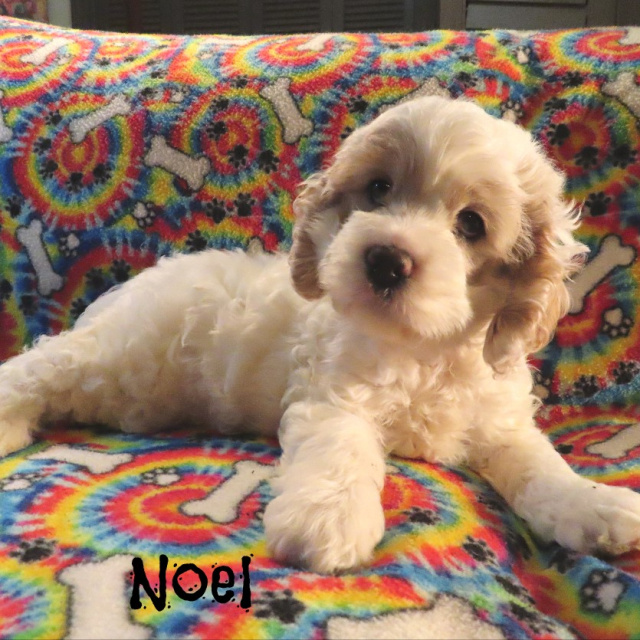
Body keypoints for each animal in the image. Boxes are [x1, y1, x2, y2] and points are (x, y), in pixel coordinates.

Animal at [1, 96, 639, 573]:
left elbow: (539, 464)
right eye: (378, 189)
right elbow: (341, 451)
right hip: (116, 353)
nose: (385, 259)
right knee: (38, 366)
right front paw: (327, 520)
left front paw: (593, 506)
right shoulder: (334, 398)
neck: (425, 350)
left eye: (471, 224)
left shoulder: (500, 420)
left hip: (132, 394)